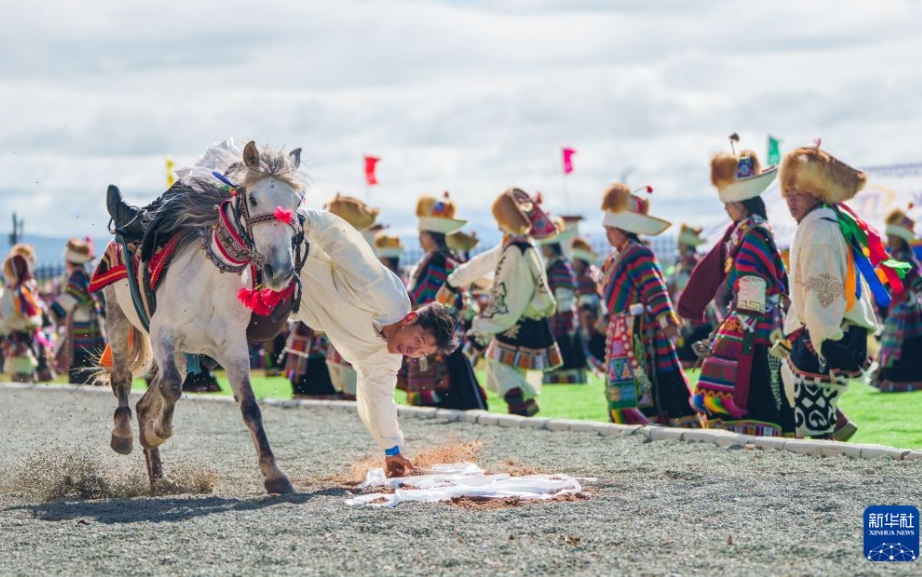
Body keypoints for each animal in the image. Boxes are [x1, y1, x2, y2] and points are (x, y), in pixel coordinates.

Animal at [99, 140, 305, 494]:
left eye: (295, 202)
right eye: (253, 198)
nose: (279, 271)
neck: (210, 278)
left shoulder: (233, 347)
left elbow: (249, 406)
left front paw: (274, 474)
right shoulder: (163, 334)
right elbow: (170, 388)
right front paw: (156, 432)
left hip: (183, 354)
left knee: (146, 403)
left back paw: (159, 478)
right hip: (118, 316)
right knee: (123, 379)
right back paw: (124, 434)